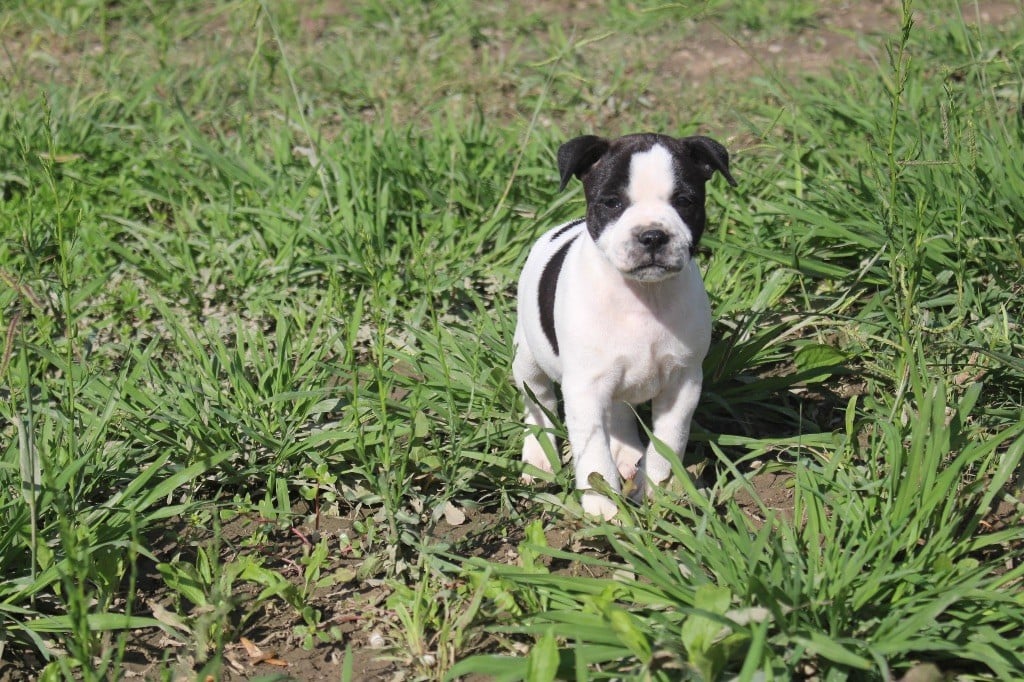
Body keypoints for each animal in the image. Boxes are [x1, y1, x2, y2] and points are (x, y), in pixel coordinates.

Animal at [512, 131, 737, 516]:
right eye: (612, 203)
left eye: (684, 201)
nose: (652, 235)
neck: (643, 296)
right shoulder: (585, 390)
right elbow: (593, 456)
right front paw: (604, 510)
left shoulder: (682, 384)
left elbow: (669, 440)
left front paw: (655, 489)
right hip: (528, 357)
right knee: (538, 400)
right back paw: (539, 456)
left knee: (619, 412)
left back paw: (629, 455)